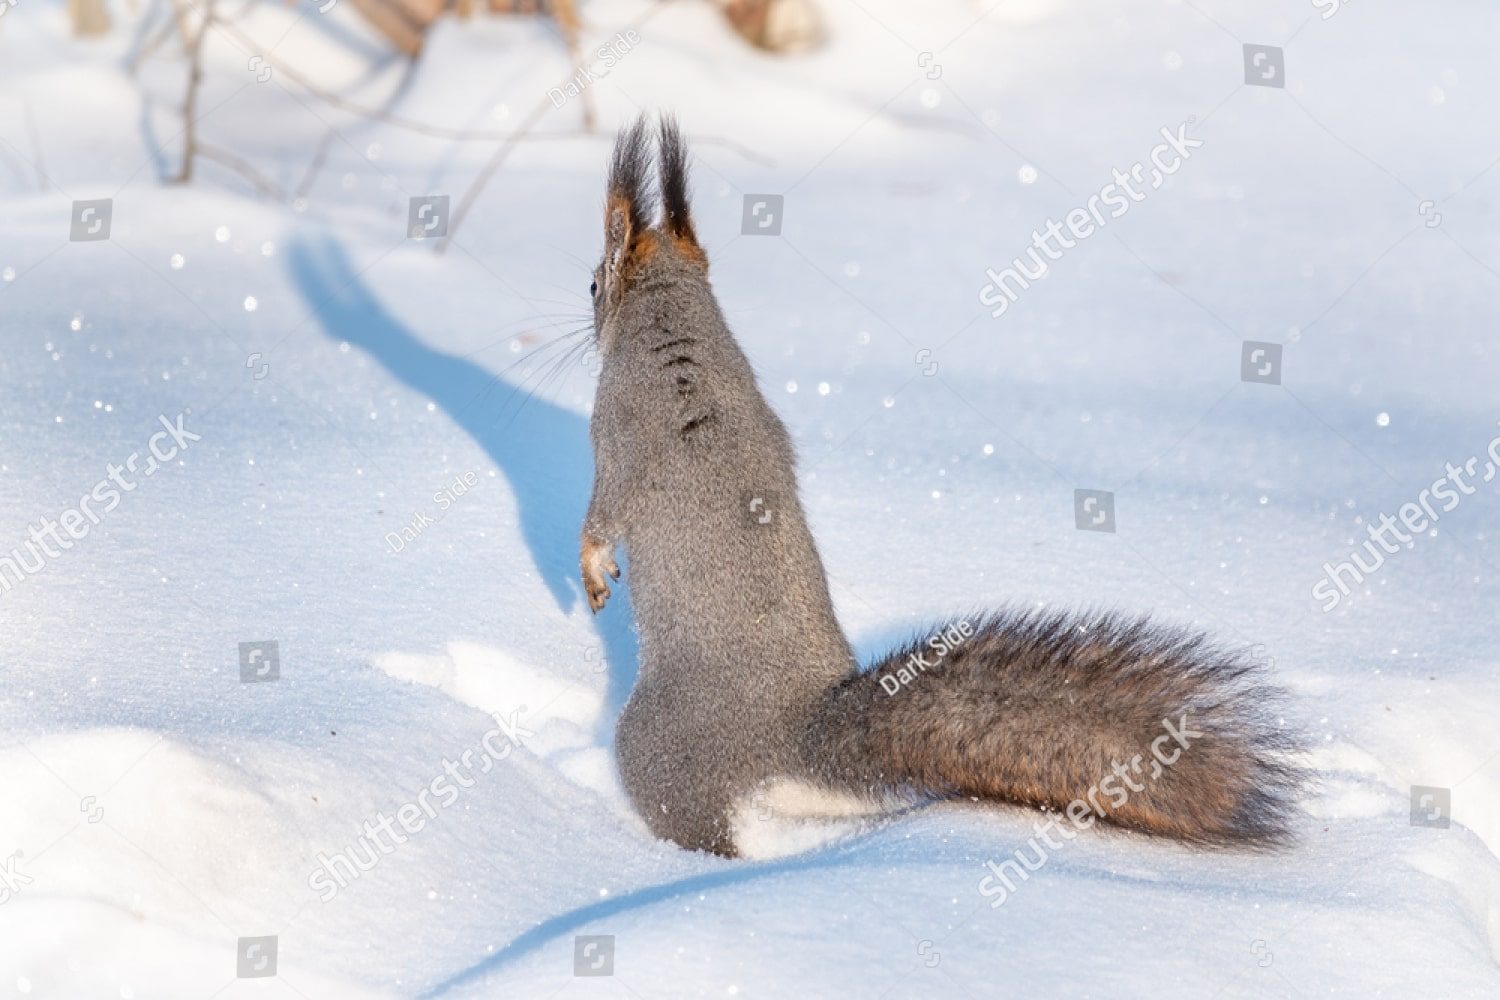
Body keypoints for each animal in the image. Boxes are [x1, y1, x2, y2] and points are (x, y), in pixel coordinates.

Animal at [580, 115, 1301, 858]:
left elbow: (603, 515)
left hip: (659, 753)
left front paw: (593, 571)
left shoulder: (617, 433)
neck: (680, 327)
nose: (587, 317)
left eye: (593, 286)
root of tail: (795, 740)